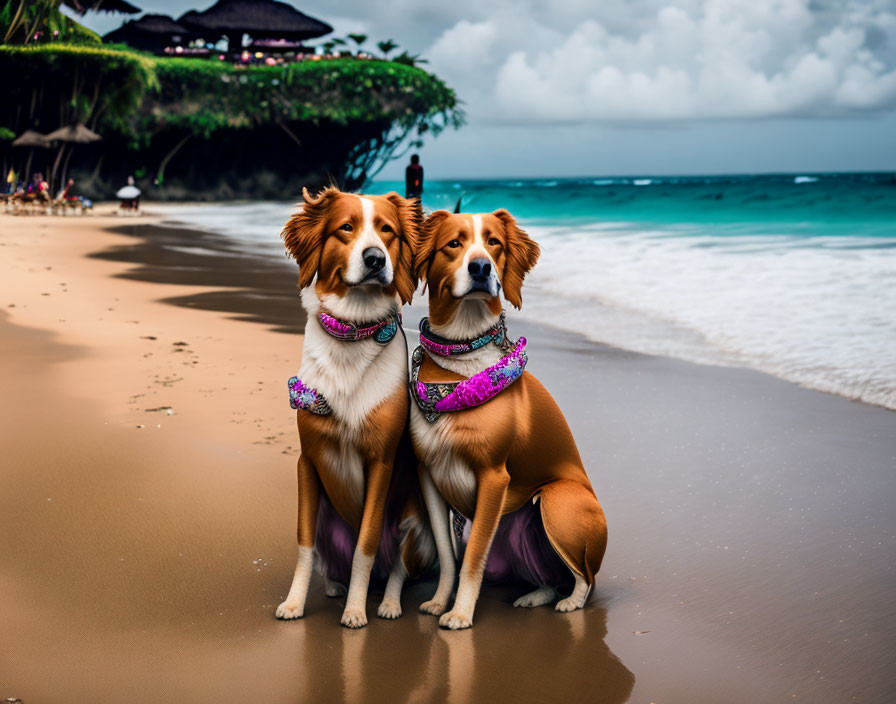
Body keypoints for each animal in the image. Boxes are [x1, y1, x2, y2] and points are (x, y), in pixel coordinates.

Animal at [276, 186, 438, 628]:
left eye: (387, 231)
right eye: (346, 228)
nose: (375, 259)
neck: (353, 330)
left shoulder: (380, 462)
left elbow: (365, 544)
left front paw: (355, 611)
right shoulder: (308, 460)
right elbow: (302, 544)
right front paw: (294, 603)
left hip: (419, 531)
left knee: (396, 571)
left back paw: (387, 602)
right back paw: (335, 586)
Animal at [408, 206, 604, 628]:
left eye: (494, 243)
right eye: (454, 243)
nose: (481, 267)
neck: (462, 360)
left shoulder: (492, 479)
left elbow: (472, 557)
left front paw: (460, 614)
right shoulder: (429, 474)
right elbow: (448, 554)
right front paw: (440, 601)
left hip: (556, 502)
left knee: (584, 577)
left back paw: (571, 602)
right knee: (549, 578)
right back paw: (534, 596)